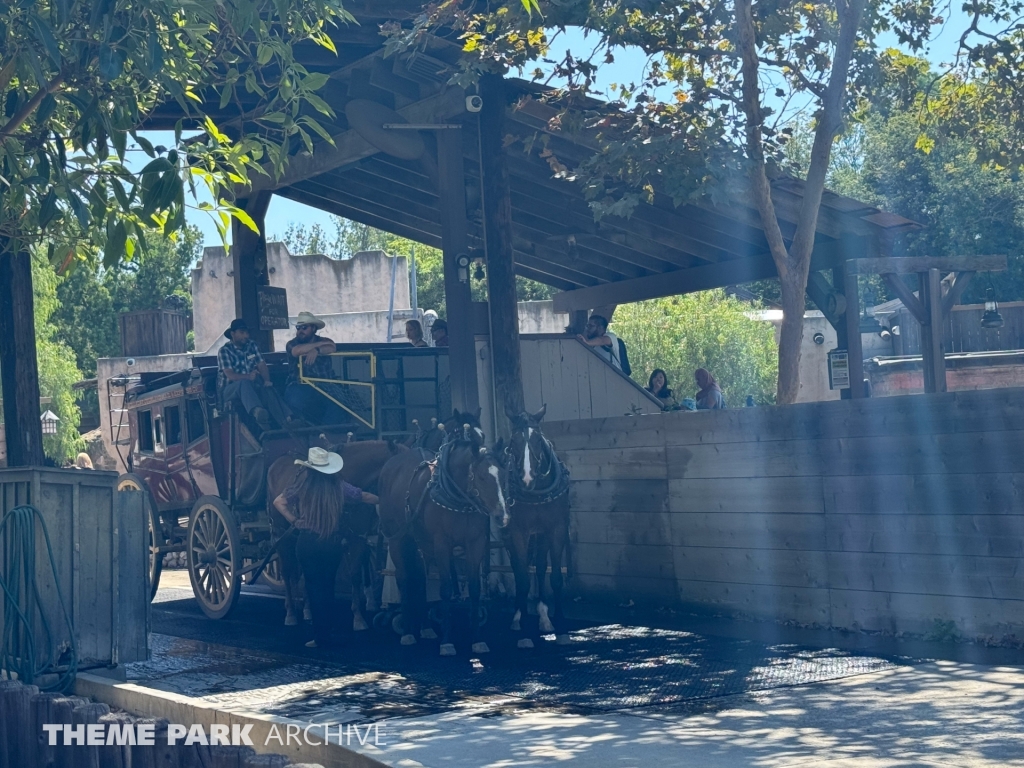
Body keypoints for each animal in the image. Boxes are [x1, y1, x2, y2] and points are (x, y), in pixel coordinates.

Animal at [268, 438, 407, 630]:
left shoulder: (357, 537)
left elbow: (354, 574)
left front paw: (358, 617)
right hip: (281, 535)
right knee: (287, 572)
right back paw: (290, 613)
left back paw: (307, 610)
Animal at [376, 411, 507, 659]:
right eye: (482, 478)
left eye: (501, 476)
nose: (501, 515)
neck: (458, 496)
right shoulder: (441, 544)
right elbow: (445, 589)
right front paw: (447, 642)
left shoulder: (475, 543)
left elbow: (474, 589)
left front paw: (477, 639)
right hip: (398, 538)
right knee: (403, 578)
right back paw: (408, 631)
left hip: (422, 542)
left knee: (422, 578)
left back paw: (425, 628)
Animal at [497, 403, 573, 651]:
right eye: (514, 440)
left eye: (538, 439)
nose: (527, 477)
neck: (536, 491)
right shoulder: (518, 533)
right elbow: (521, 579)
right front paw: (523, 632)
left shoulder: (556, 529)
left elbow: (554, 576)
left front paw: (560, 625)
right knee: (518, 567)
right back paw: (518, 616)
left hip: (540, 536)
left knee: (539, 567)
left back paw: (543, 616)